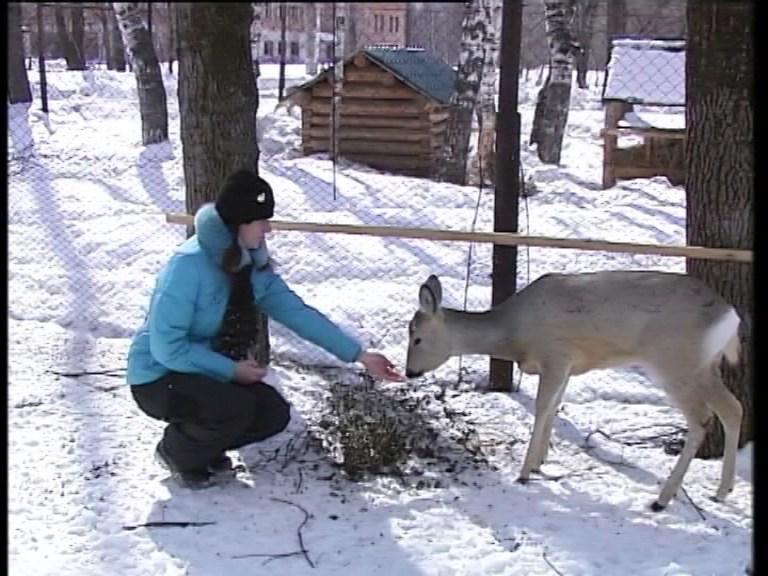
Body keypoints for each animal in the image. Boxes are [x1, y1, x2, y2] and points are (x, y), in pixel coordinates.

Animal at [404, 270, 740, 508]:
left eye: (417, 338)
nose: (409, 372)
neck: (514, 333)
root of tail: (730, 317)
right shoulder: (567, 365)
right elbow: (554, 406)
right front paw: (539, 462)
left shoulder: (556, 354)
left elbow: (542, 407)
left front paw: (524, 472)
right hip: (705, 366)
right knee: (732, 408)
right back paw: (722, 491)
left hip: (675, 363)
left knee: (701, 418)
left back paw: (662, 499)